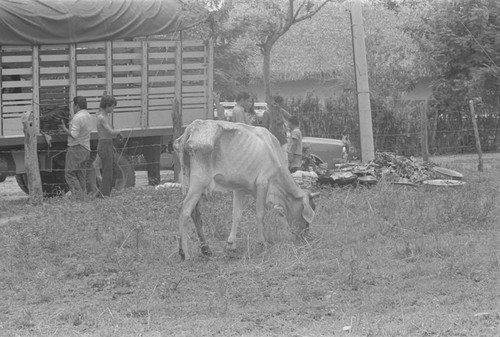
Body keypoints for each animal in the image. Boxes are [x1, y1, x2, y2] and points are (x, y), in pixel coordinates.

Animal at [174, 119, 318, 260]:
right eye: (311, 208)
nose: (305, 237)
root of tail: (193, 126)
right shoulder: (263, 183)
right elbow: (260, 214)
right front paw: (262, 243)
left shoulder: (239, 188)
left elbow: (236, 215)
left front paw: (231, 245)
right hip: (199, 183)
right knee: (185, 210)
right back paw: (184, 252)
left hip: (189, 181)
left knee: (195, 213)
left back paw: (206, 250)